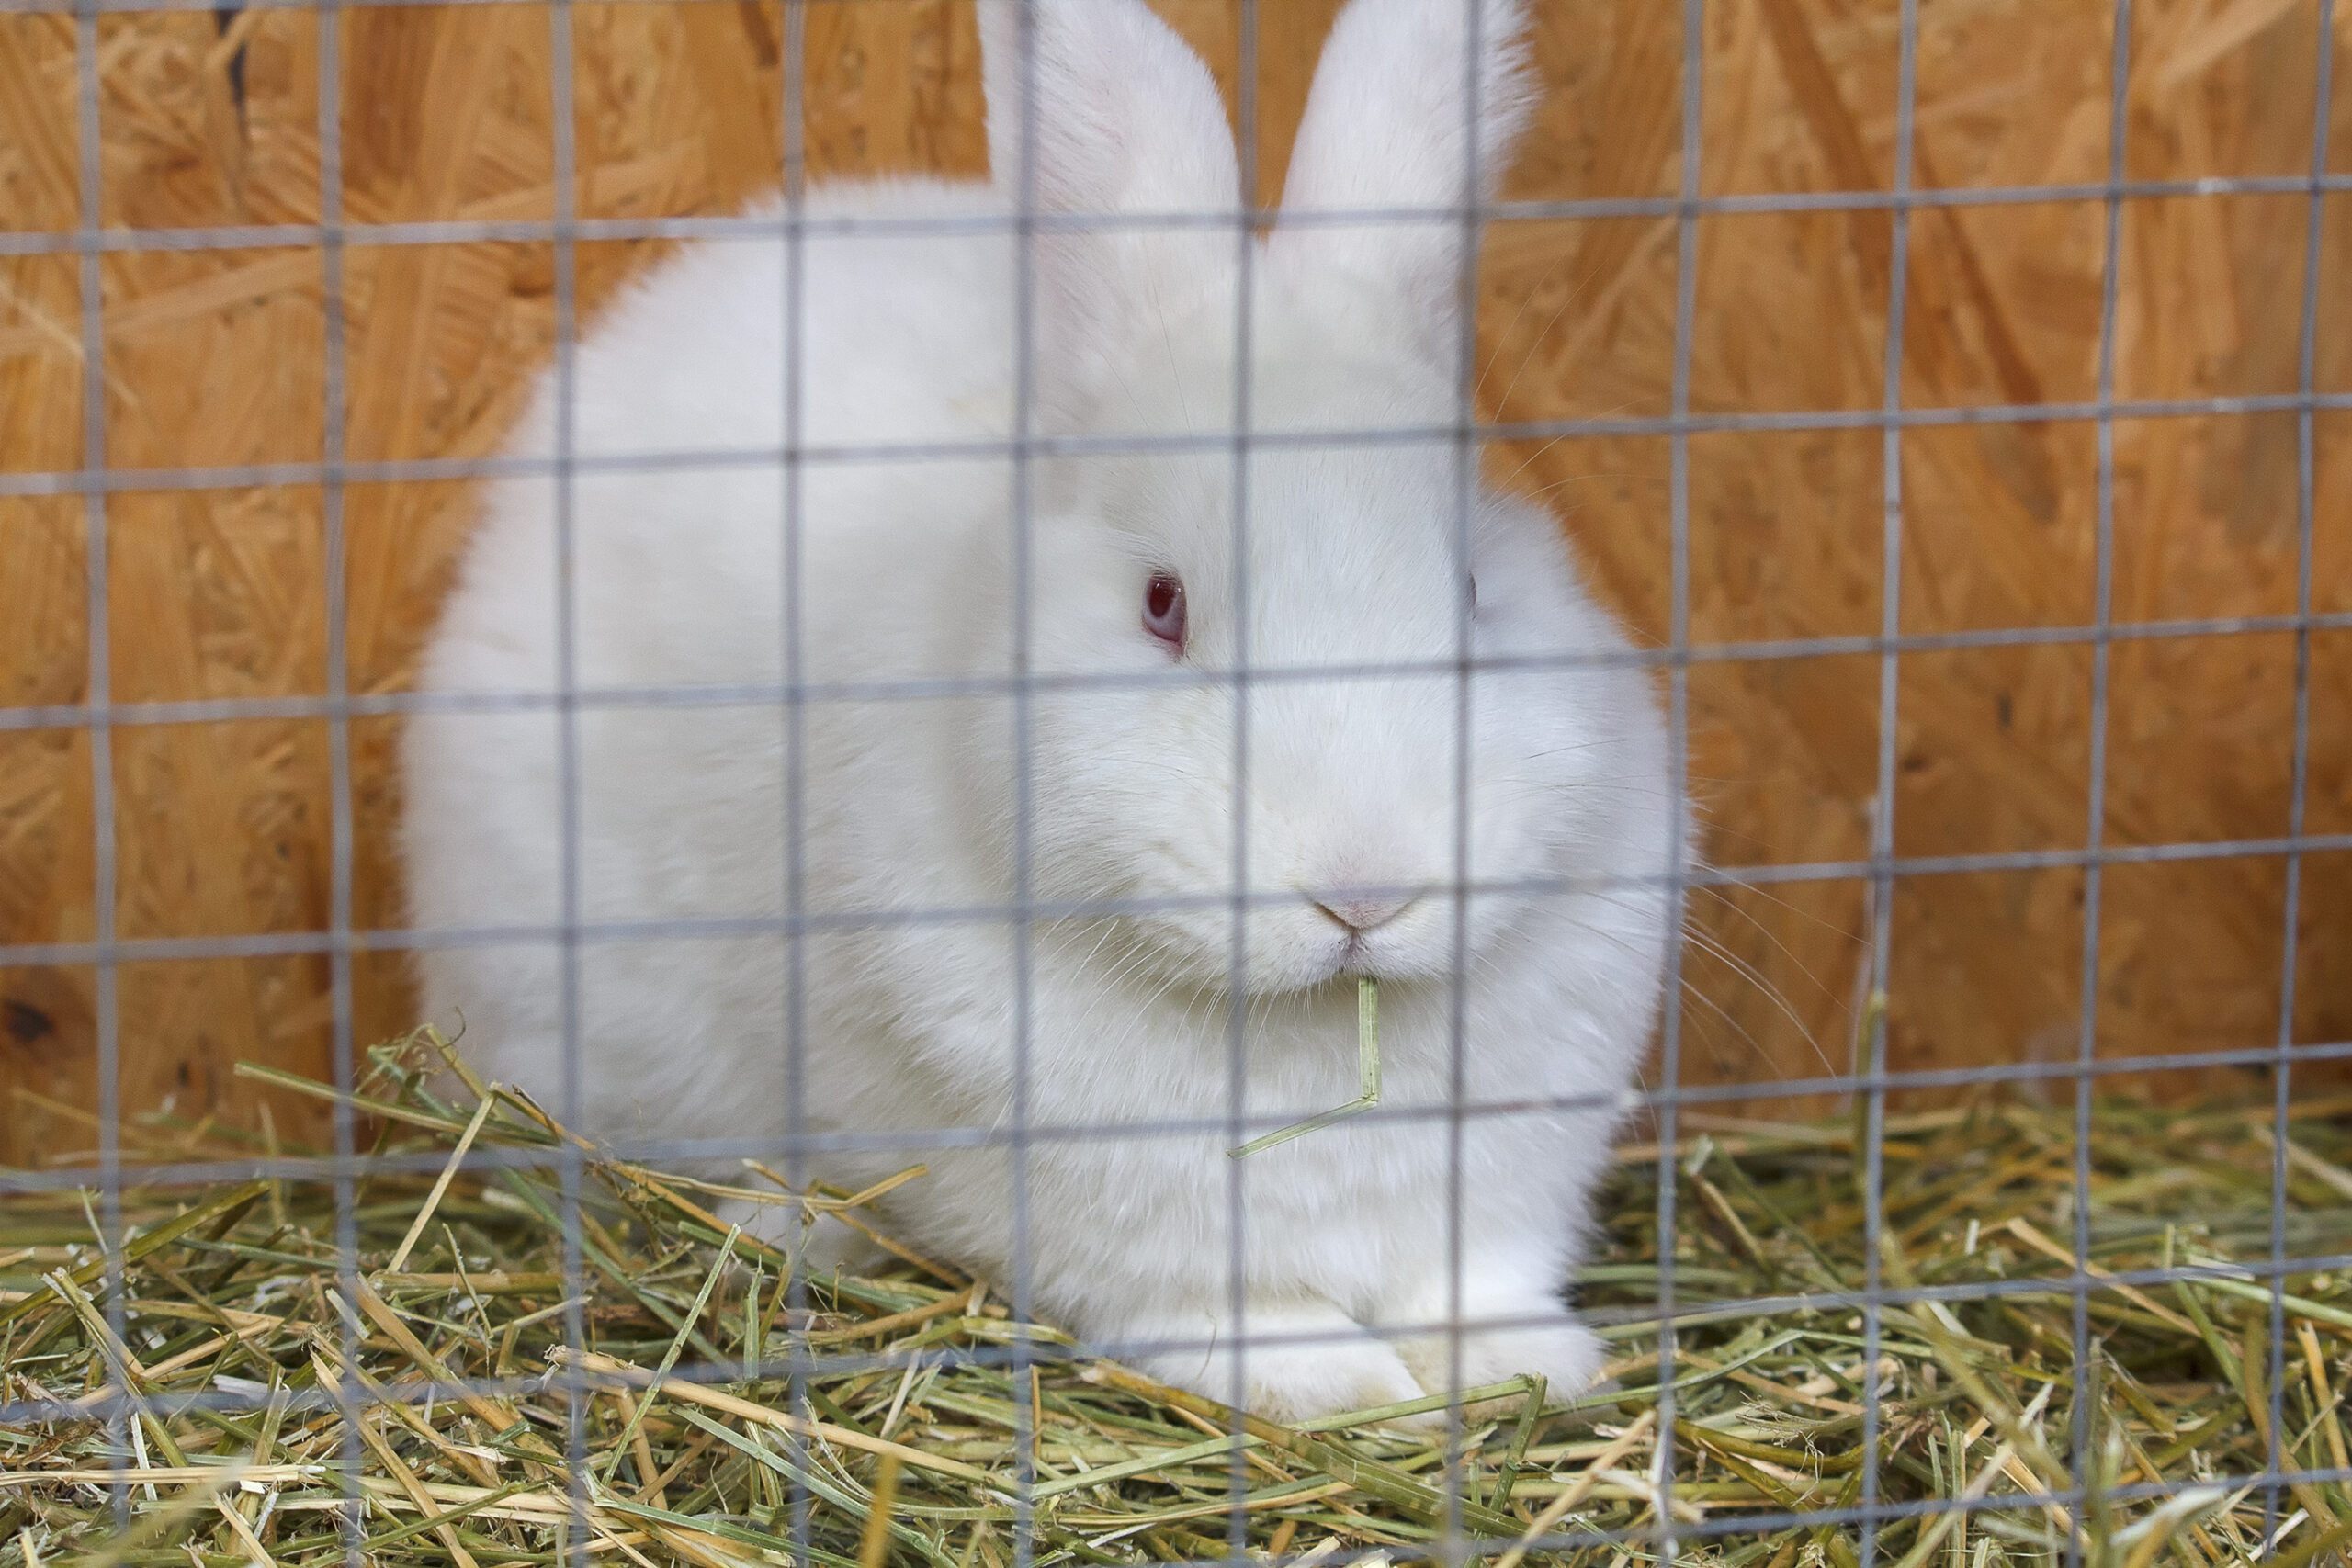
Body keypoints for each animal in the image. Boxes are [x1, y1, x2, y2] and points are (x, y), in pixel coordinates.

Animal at [400, 0, 1685, 1424]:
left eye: (1468, 588)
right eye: (1162, 605)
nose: (1364, 892)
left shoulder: (1507, 1180)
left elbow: (1477, 1280)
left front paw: (1533, 1364)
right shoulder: (1108, 1217)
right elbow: (1222, 1310)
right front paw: (1335, 1383)